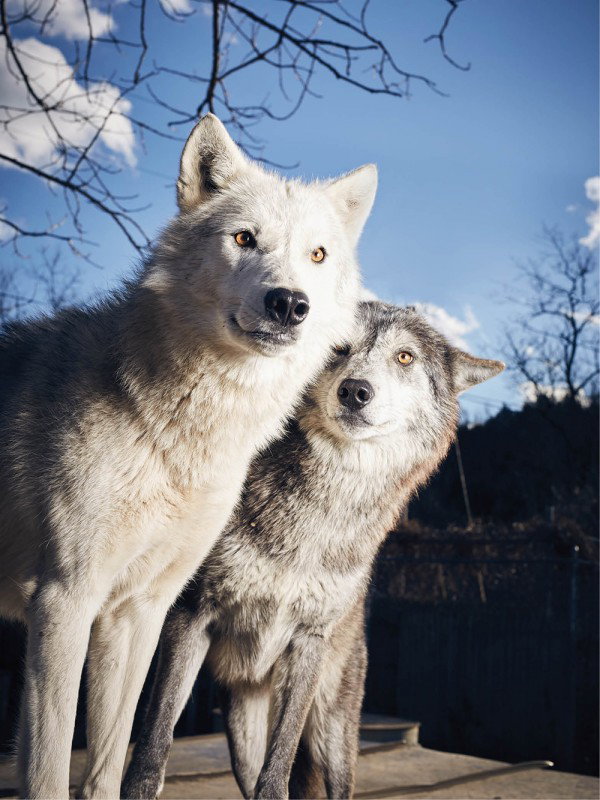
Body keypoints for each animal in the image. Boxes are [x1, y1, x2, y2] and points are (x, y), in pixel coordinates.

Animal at [0, 113, 377, 799]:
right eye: (244, 237)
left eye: (317, 255)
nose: (290, 303)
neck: (173, 432)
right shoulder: (64, 601)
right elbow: (48, 772)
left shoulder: (139, 611)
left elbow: (107, 765)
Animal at [121, 300, 504, 800]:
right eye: (337, 346)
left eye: (405, 357)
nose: (355, 391)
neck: (318, 513)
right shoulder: (191, 614)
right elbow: (157, 732)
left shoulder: (308, 640)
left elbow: (282, 757)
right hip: (243, 733)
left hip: (334, 733)